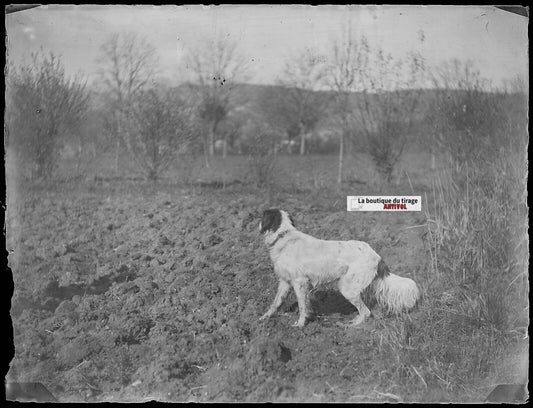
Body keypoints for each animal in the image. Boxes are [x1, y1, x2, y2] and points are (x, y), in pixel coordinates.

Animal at [258, 209, 420, 326]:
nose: (257, 224)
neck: (283, 237)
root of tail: (377, 256)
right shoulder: (285, 282)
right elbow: (275, 303)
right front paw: (264, 317)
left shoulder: (299, 282)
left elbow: (303, 307)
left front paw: (300, 325)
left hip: (347, 288)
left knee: (366, 312)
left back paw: (352, 326)